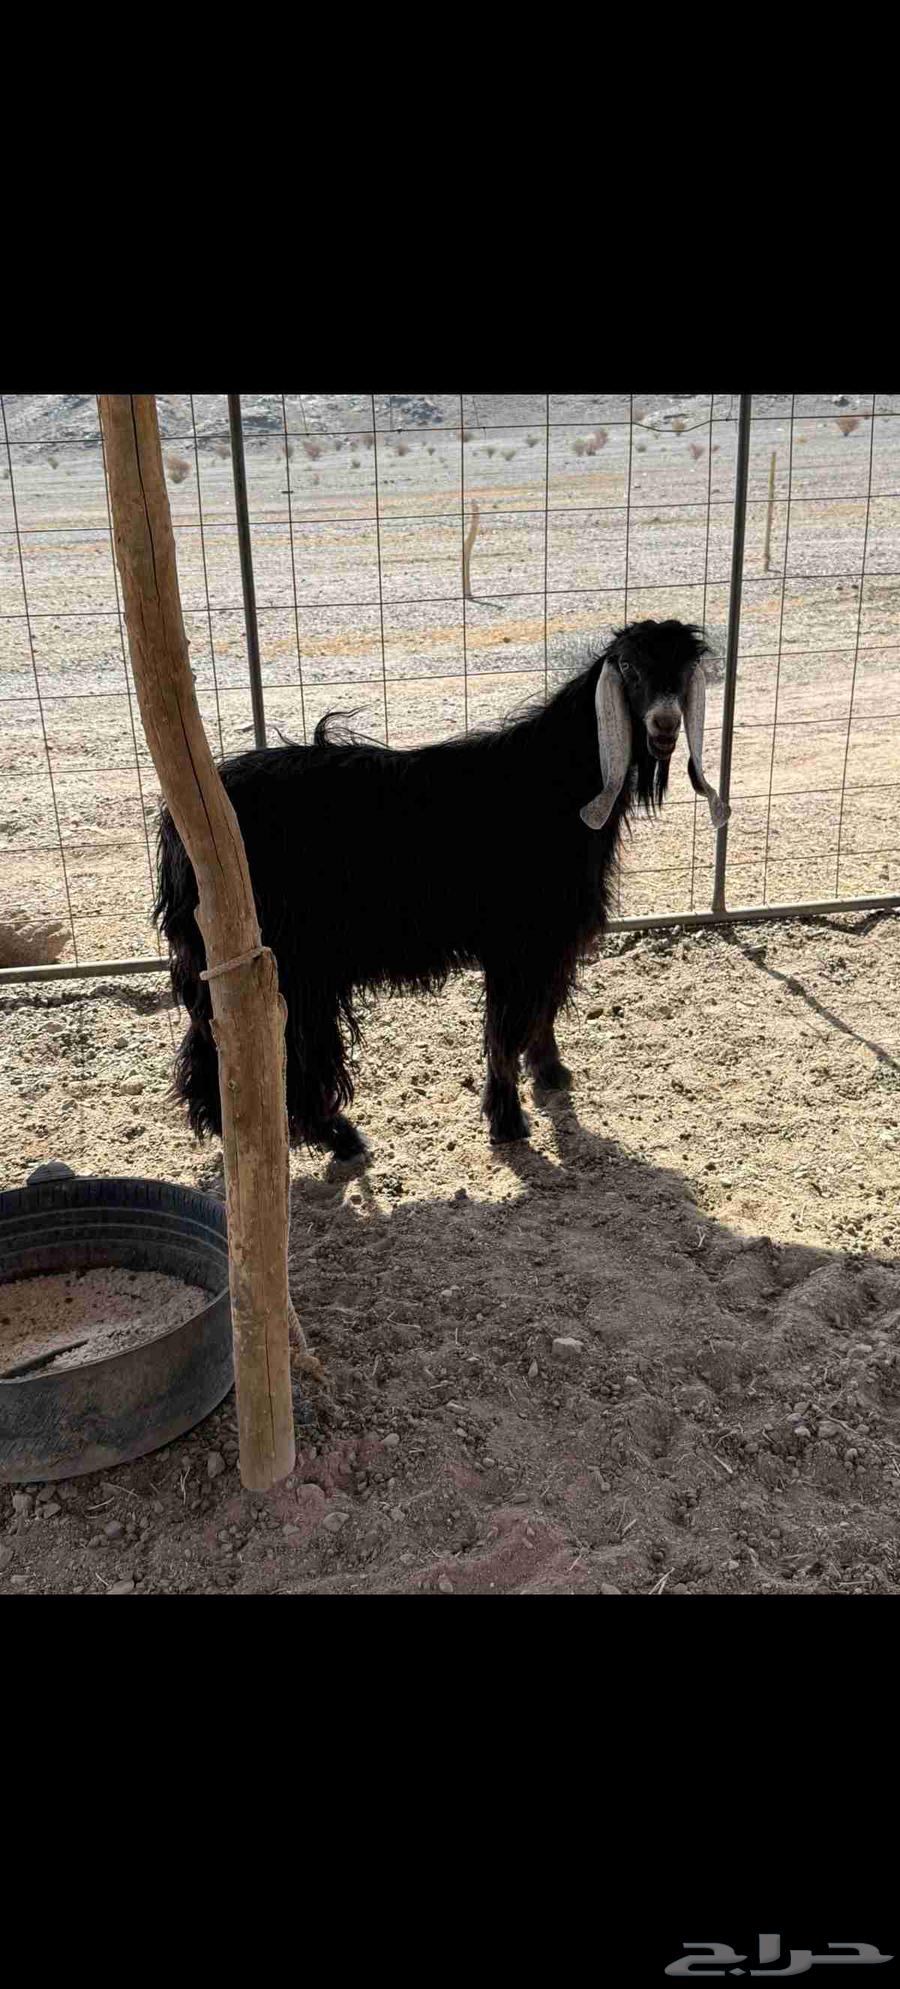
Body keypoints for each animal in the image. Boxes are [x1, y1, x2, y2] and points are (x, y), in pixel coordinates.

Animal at [154, 618, 728, 1157]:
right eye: (628, 668)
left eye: (686, 668)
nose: (664, 726)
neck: (559, 784)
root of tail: (179, 830)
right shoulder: (517, 941)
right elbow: (504, 1030)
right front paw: (507, 1120)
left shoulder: (554, 939)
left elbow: (543, 1009)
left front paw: (550, 1074)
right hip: (282, 962)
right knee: (276, 1047)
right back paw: (335, 1135)